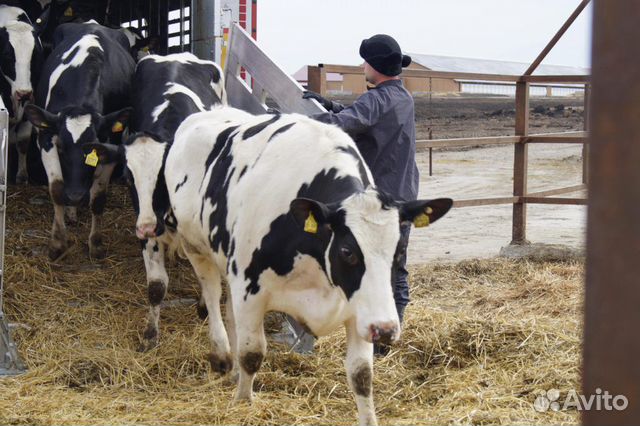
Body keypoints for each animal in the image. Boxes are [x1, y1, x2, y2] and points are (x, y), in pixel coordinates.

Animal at [23, 21, 134, 262]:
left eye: (93, 150)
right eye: (61, 149)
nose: (75, 195)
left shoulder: (111, 141)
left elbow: (98, 198)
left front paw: (96, 245)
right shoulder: (47, 136)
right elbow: (56, 189)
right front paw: (57, 244)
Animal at [84, 51, 226, 350]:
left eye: (165, 176)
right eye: (127, 178)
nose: (147, 227)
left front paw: (203, 306)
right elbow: (157, 286)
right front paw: (150, 334)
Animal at [162, 107, 452, 426]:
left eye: (399, 251)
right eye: (347, 251)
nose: (385, 329)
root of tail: (209, 112)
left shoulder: (356, 306)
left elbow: (361, 374)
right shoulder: (250, 289)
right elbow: (252, 354)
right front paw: (243, 403)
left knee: (229, 311)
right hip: (194, 245)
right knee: (213, 298)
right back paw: (222, 355)